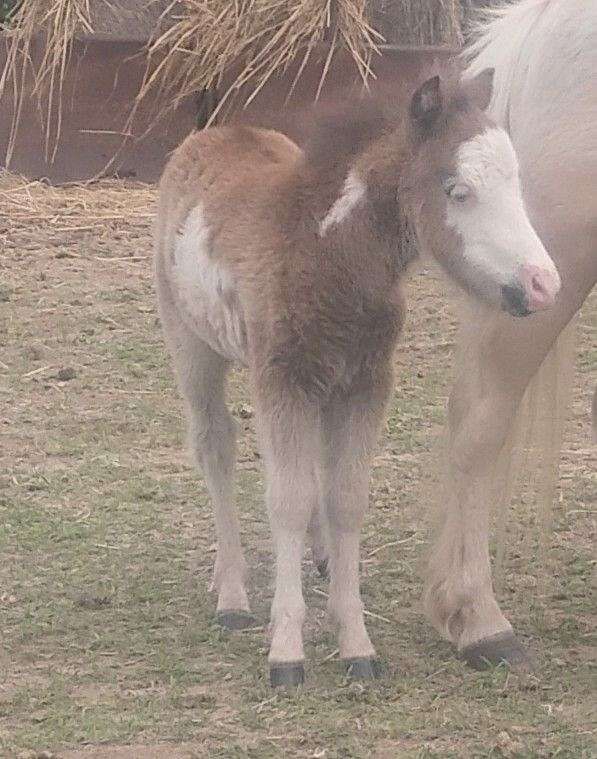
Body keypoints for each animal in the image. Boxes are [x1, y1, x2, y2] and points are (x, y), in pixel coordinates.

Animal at [154, 67, 560, 686]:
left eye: (516, 186)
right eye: (457, 191)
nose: (542, 285)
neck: (326, 253)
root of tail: (214, 133)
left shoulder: (366, 384)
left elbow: (345, 497)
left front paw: (357, 646)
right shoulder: (284, 381)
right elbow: (288, 499)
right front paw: (287, 653)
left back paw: (318, 560)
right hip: (192, 346)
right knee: (214, 444)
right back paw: (232, 597)